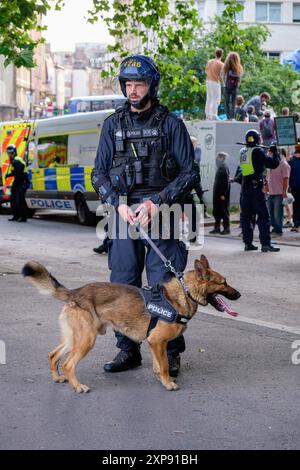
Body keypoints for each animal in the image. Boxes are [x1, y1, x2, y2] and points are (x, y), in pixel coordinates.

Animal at [22, 255, 240, 392]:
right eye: (224, 283)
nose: (239, 294)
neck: (183, 293)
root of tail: (76, 292)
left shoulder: (154, 343)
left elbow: (159, 365)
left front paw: (161, 379)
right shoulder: (158, 342)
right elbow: (164, 366)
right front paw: (168, 383)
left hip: (73, 338)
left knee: (53, 355)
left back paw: (57, 377)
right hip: (86, 340)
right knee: (68, 364)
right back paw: (77, 386)